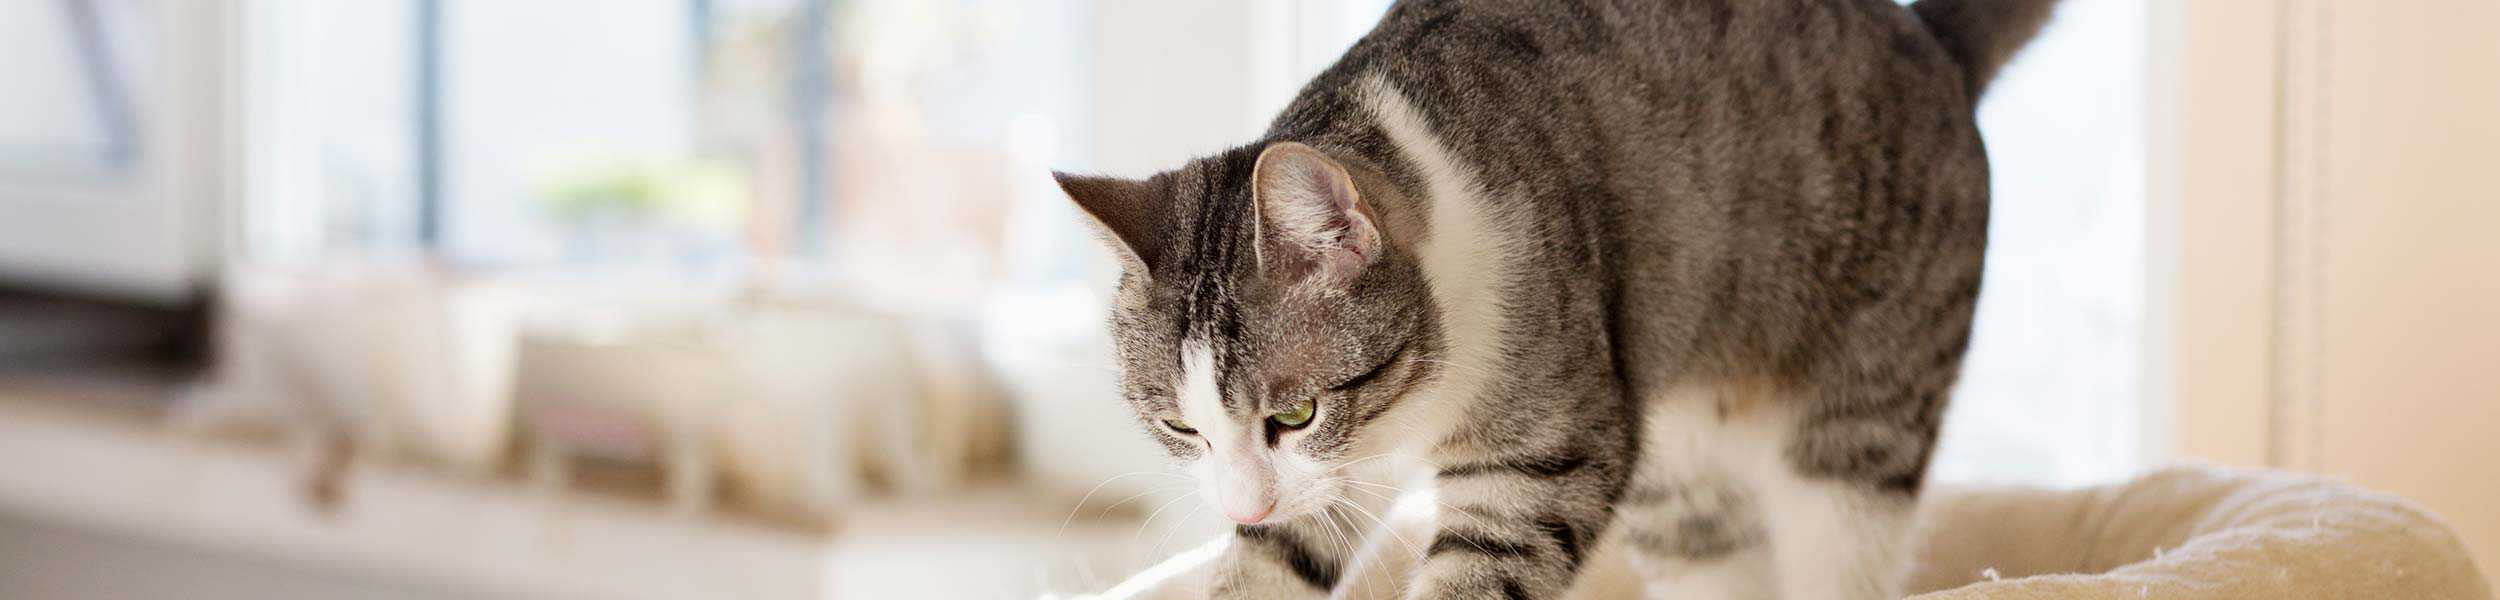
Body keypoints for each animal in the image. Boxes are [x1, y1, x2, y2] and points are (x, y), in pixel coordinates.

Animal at [1055, 2, 2050, 597]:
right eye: (1179, 427)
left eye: (1294, 414)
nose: (1243, 504)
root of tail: (1935, 45)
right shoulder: (1331, 479)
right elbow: (1276, 561)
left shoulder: (1546, 440)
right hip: (1681, 472)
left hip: (1862, 416)